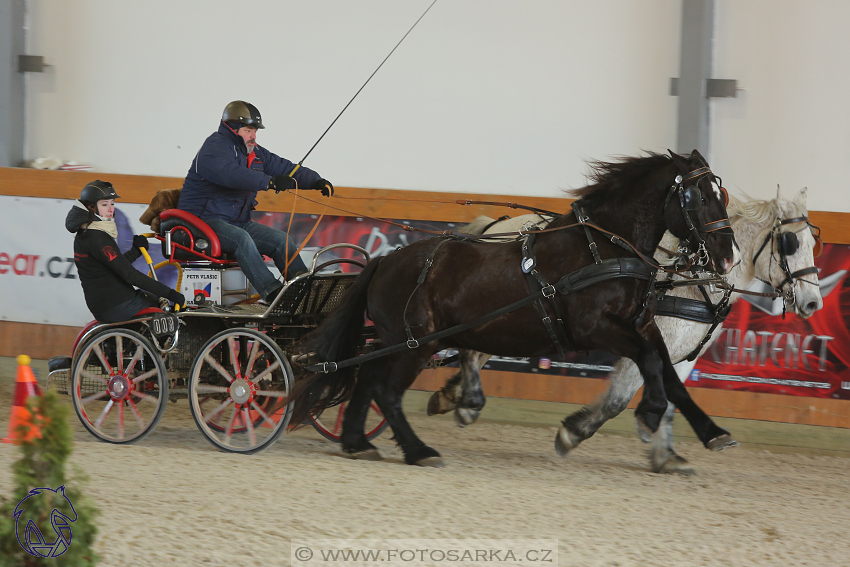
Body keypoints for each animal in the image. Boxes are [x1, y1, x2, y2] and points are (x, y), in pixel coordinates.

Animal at [290, 149, 736, 468]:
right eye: (699, 197)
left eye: (723, 194)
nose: (727, 256)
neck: (604, 248)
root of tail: (387, 259)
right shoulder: (597, 327)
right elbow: (650, 364)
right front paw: (648, 414)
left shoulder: (641, 325)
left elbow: (668, 376)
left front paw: (712, 432)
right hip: (416, 342)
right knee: (386, 390)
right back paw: (419, 450)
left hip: (398, 340)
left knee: (366, 377)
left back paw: (356, 442)